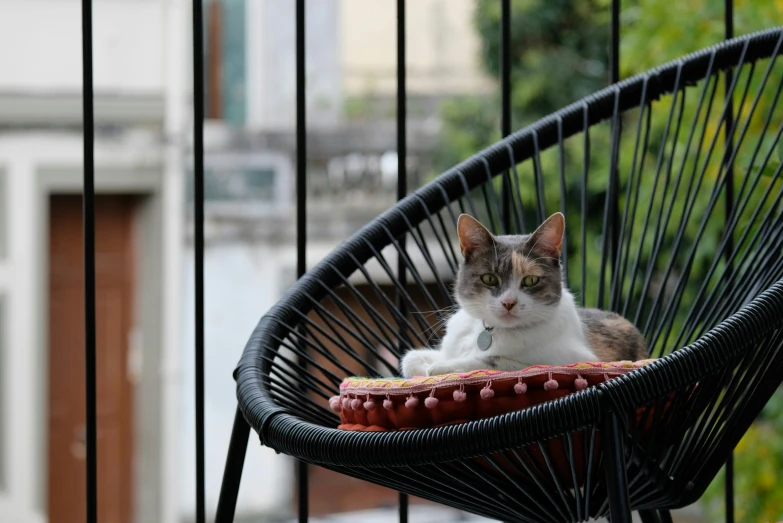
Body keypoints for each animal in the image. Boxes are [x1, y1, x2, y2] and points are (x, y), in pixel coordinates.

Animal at [402, 211, 648, 378]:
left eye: (530, 280)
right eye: (489, 279)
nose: (509, 302)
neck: (495, 332)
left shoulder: (570, 359)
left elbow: (494, 360)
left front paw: (441, 367)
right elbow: (409, 359)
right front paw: (426, 364)